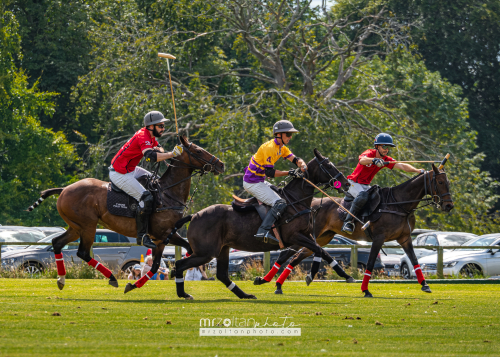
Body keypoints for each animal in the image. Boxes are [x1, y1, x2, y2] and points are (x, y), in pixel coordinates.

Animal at [26, 135, 223, 290]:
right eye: (198, 151)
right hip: (88, 226)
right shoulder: (164, 234)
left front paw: (135, 285)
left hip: (75, 226)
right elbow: (177, 254)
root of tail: (64, 189)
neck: (168, 193)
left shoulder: (161, 239)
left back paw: (61, 280)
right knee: (82, 252)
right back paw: (112, 278)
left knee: (57, 243)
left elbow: (160, 263)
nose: (221, 165)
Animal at [170, 149, 350, 298]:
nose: (347, 183)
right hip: (206, 252)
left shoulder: (307, 236)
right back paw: (183, 294)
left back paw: (245, 295)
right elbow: (318, 251)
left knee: (221, 274)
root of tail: (194, 215)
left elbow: (321, 251)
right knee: (179, 264)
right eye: (328, 165)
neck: (296, 201)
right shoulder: (295, 236)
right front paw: (312, 275)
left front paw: (345, 276)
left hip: (222, 249)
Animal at [254, 165, 454, 298]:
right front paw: (366, 290)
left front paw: (425, 285)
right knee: (287, 254)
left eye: (448, 182)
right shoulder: (379, 238)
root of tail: (311, 204)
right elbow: (371, 263)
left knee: (298, 256)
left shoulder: (404, 238)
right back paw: (268, 281)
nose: (449, 206)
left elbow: (414, 261)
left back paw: (279, 284)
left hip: (323, 237)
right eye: (440, 182)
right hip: (306, 235)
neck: (399, 204)